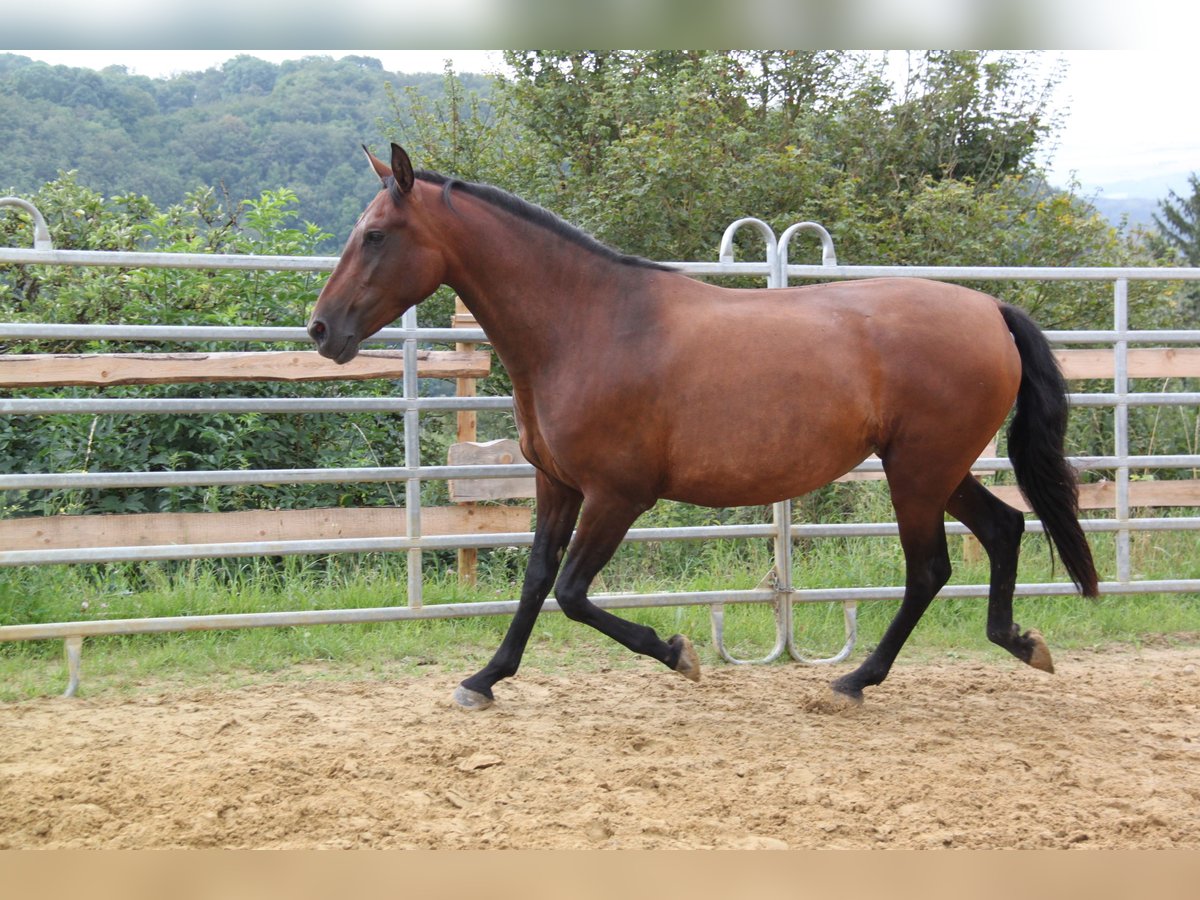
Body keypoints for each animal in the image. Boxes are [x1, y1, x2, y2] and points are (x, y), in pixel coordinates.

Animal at [309, 142, 1099, 710]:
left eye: (374, 235)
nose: (321, 330)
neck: (589, 325)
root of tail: (990, 308)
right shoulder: (557, 486)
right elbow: (536, 582)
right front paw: (484, 679)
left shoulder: (618, 495)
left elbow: (572, 593)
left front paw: (678, 654)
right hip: (936, 469)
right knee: (1003, 529)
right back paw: (1019, 642)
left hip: (919, 472)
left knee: (930, 569)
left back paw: (854, 682)